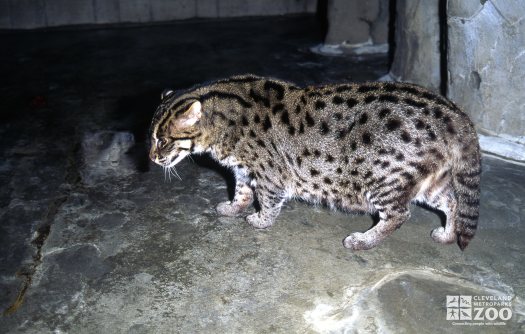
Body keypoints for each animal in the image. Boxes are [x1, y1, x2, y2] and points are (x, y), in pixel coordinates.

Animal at [147, 73, 478, 250]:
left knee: (399, 215)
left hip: (384, 179)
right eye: (151, 137)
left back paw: (364, 240)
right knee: (452, 202)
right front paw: (233, 207)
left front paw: (260, 220)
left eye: (162, 141)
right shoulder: (243, 169)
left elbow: (268, 200)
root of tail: (455, 113)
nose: (151, 157)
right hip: (429, 182)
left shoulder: (270, 173)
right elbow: (241, 191)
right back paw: (448, 233)